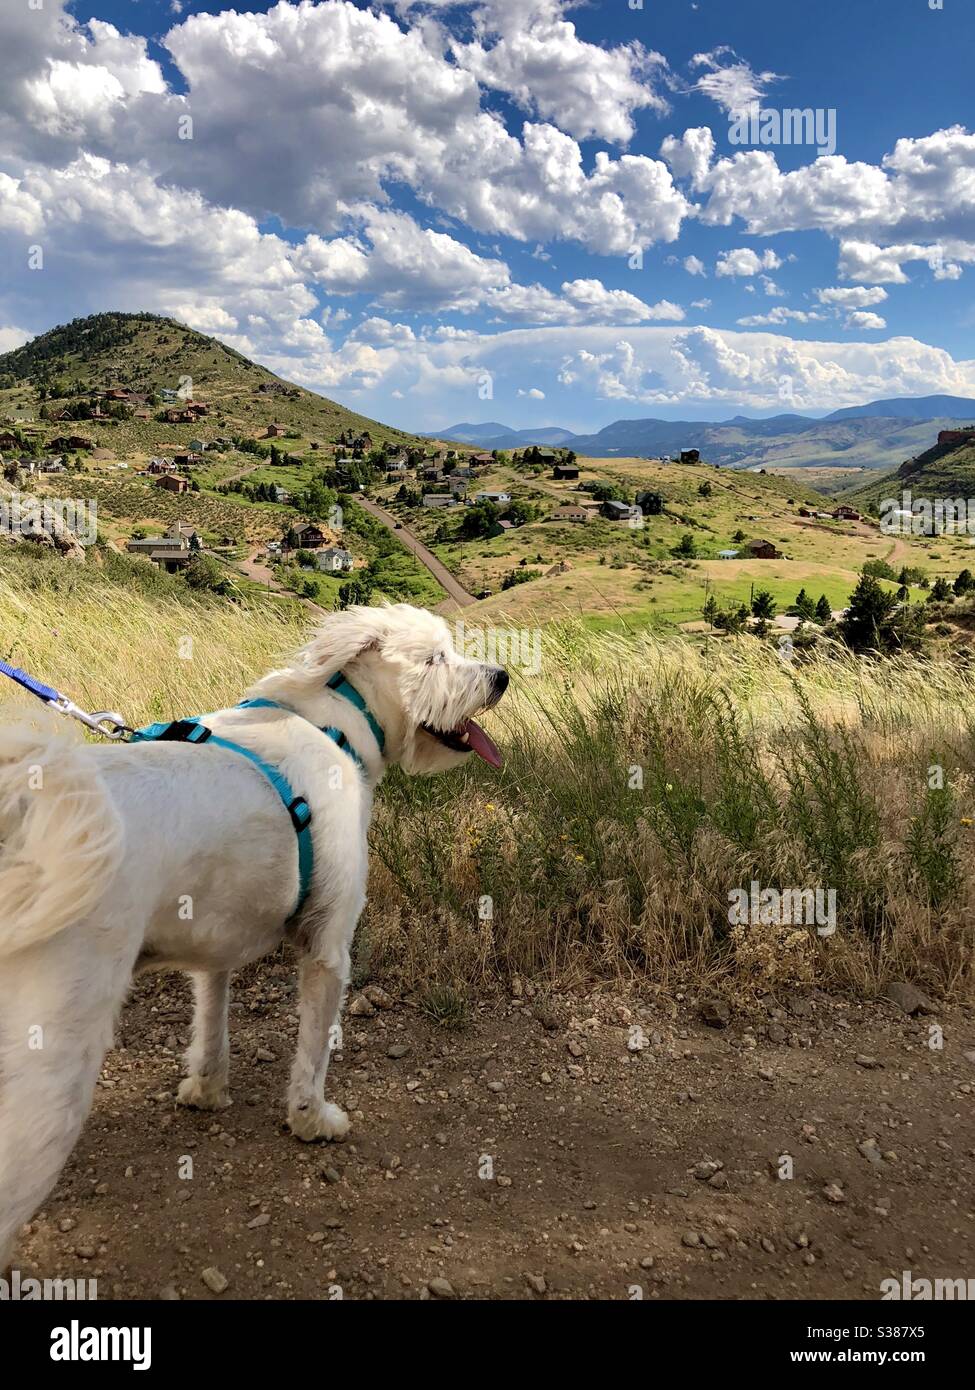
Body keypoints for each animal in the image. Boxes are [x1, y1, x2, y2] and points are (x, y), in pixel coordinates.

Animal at [0, 603, 500, 1267]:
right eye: (434, 658)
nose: (501, 677)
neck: (335, 721)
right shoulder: (328, 949)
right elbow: (313, 1053)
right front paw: (312, 1121)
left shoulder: (214, 940)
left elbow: (212, 1023)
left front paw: (207, 1088)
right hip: (51, 1068)